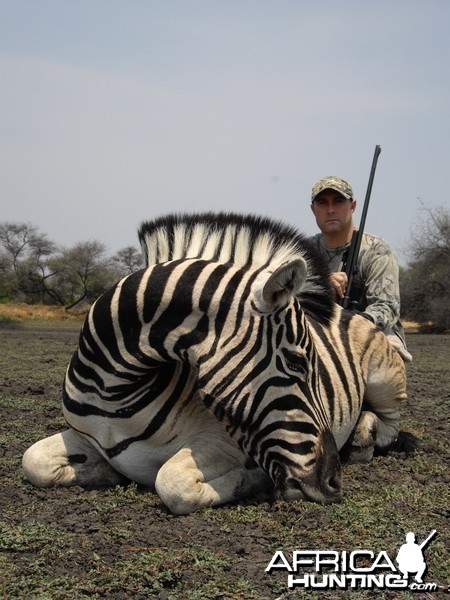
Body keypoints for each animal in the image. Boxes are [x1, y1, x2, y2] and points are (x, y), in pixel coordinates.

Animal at [22, 213, 408, 512]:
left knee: (389, 424)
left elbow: (172, 483)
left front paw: (251, 480)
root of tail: (349, 311)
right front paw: (107, 473)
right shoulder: (84, 436)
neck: (113, 390)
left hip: (385, 380)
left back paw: (362, 438)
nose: (333, 482)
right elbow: (33, 460)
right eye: (297, 363)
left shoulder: (223, 441)